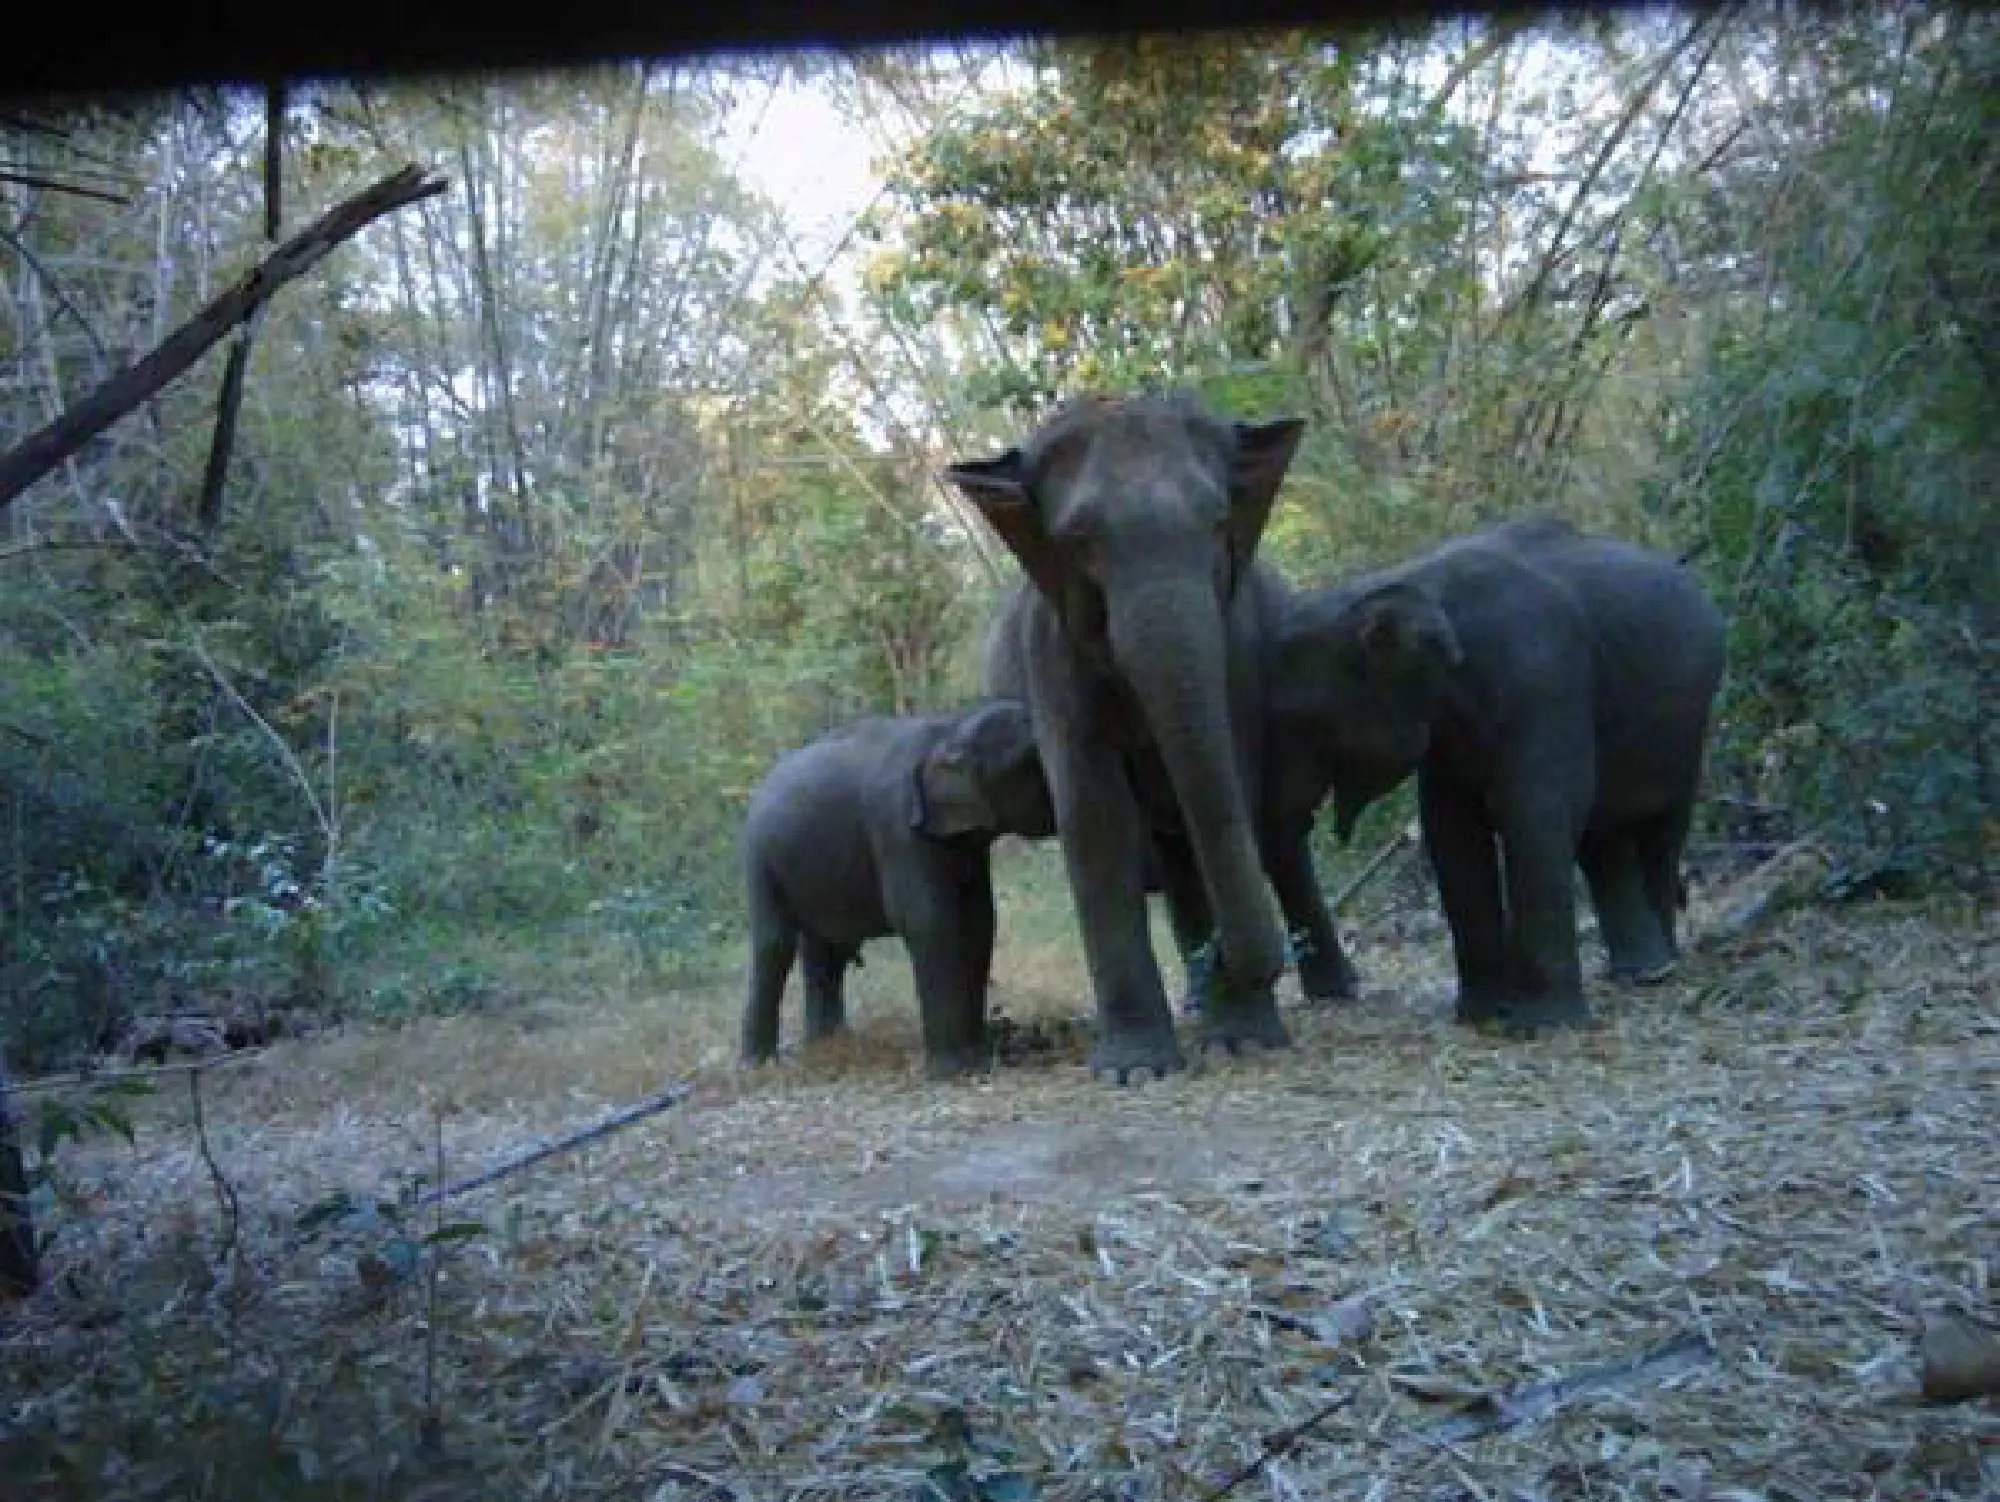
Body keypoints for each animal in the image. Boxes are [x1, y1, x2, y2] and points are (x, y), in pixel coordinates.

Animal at [738, 698, 1057, 1079]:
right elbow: (930, 920)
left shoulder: (963, 844)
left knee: (824, 950)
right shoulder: (897, 828)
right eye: (1034, 757)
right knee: (774, 944)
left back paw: (831, 1045)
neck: (951, 727)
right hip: (759, 858)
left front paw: (981, 1057)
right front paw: (956, 1071)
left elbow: (979, 919)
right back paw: (757, 1065)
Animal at [948, 390, 1328, 1082]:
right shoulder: (1052, 656)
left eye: (1217, 521)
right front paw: (1135, 1071)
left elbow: (1231, 785)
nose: (1251, 964)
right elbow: (1095, 816)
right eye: (1079, 540)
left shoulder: (1237, 645)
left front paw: (1245, 1042)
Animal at [1263, 512, 1728, 1034]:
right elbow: (1452, 830)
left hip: (1691, 725)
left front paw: (1542, 1025)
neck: (1412, 578)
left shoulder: (1544, 681)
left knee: (1662, 830)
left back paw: (1656, 971)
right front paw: (1483, 1017)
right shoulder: (1445, 729)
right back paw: (1638, 969)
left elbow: (1533, 812)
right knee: (1602, 838)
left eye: (1300, 721)